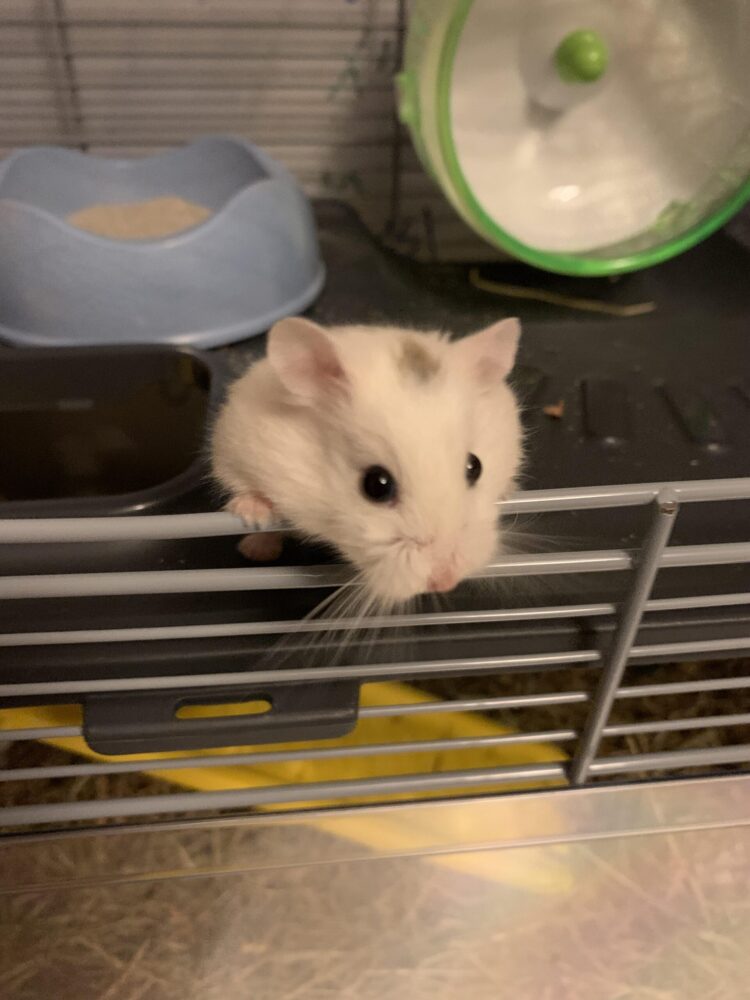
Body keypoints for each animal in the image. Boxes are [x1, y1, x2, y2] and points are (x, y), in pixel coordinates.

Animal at [211, 317, 523, 605]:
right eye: (376, 485)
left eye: (475, 466)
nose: (446, 582)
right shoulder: (235, 448)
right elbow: (244, 486)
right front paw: (253, 515)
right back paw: (256, 549)